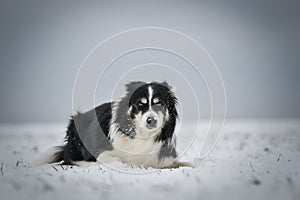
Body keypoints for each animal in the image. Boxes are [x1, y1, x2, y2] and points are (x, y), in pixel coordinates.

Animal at [37, 81, 193, 169]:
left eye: (159, 103)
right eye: (139, 104)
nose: (151, 120)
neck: (142, 135)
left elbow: (183, 164)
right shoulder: (104, 151)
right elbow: (118, 159)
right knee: (71, 160)